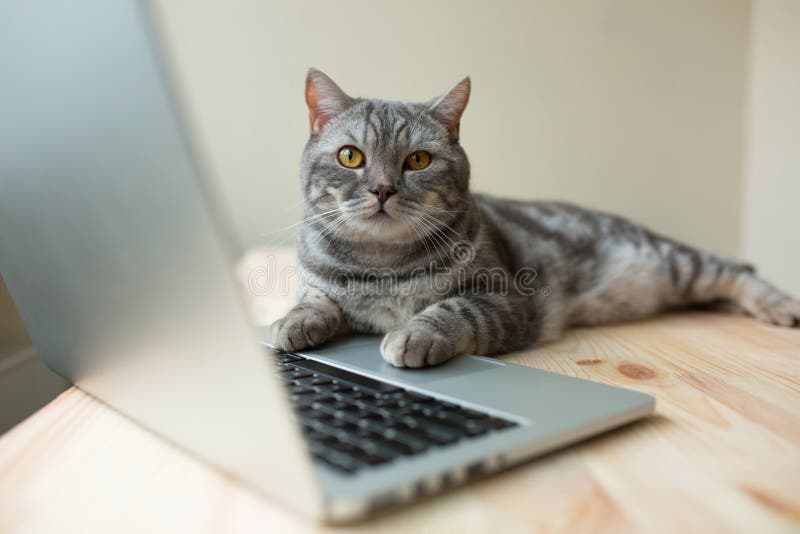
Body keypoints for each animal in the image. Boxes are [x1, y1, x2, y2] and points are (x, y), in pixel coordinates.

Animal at [270, 70, 800, 368]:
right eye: (351, 156)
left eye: (418, 161)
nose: (382, 189)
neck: (382, 265)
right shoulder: (318, 282)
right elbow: (313, 300)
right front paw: (292, 322)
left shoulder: (505, 297)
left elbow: (450, 310)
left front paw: (415, 334)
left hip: (675, 263)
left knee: (736, 271)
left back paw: (778, 306)